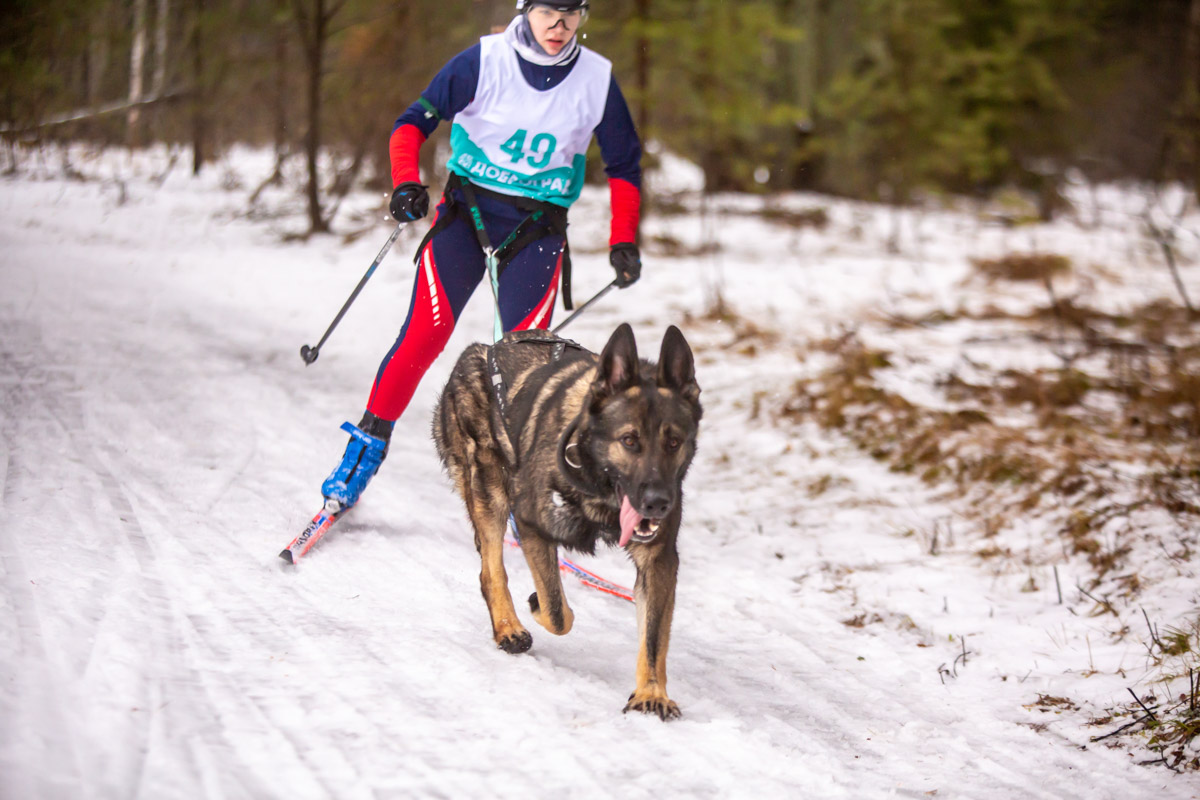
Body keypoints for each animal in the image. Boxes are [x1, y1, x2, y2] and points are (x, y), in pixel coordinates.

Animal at [432, 321, 700, 724]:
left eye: (673, 442)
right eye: (629, 440)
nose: (657, 503)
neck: (598, 480)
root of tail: (483, 349)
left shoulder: (659, 560)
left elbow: (653, 638)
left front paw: (651, 693)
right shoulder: (531, 526)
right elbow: (557, 611)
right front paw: (536, 604)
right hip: (490, 492)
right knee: (491, 569)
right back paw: (508, 627)